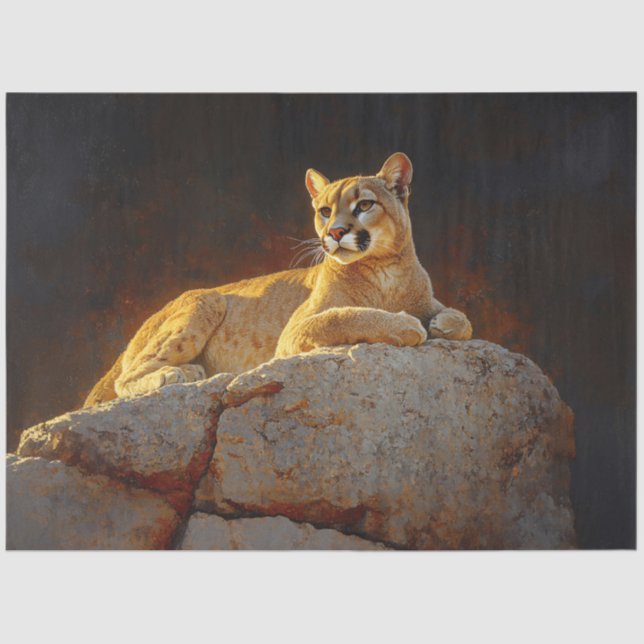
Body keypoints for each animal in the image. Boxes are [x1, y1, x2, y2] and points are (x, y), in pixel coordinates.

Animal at [84, 152, 472, 406]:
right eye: (325, 211)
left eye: (364, 205)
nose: (335, 232)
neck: (384, 269)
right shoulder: (295, 331)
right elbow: (345, 316)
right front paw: (406, 325)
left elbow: (462, 320)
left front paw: (446, 322)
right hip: (206, 299)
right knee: (125, 380)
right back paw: (178, 374)